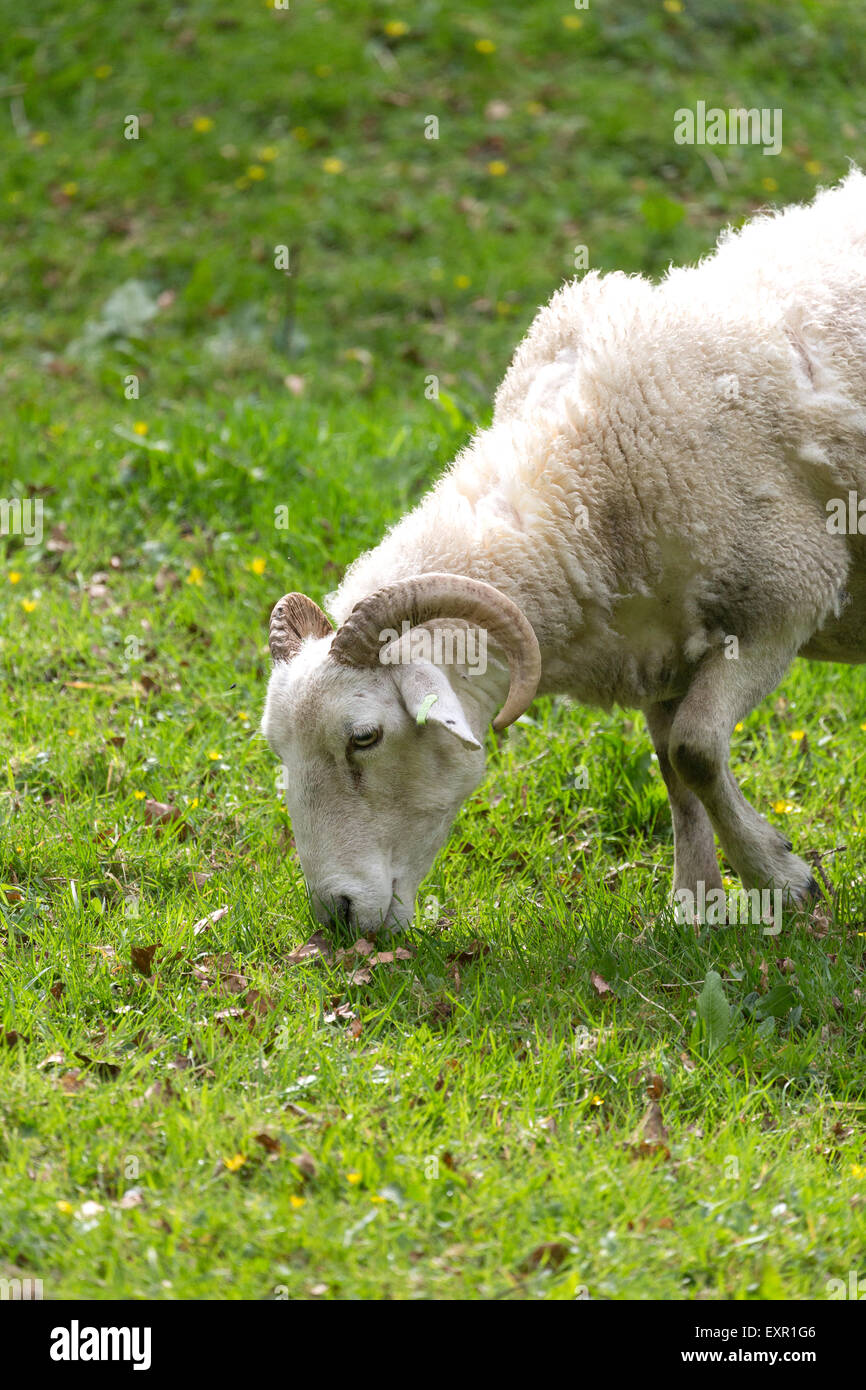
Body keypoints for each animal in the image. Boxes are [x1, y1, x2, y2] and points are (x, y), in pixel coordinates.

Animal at [261, 170, 866, 933]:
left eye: (364, 737)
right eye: (277, 748)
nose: (334, 917)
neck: (585, 477)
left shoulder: (785, 603)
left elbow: (696, 750)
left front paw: (781, 878)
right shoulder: (662, 648)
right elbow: (672, 765)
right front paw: (696, 903)